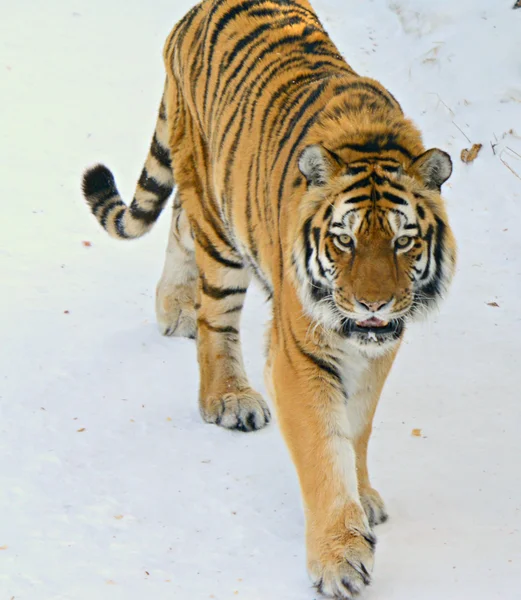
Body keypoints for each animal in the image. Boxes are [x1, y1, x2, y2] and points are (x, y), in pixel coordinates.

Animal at [80, 2, 456, 596]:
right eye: (344, 239)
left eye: (403, 241)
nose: (373, 306)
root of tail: (190, 15)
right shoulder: (300, 353)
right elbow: (323, 448)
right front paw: (339, 557)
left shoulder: (378, 349)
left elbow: (357, 426)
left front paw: (362, 496)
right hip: (218, 223)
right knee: (214, 314)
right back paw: (226, 395)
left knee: (179, 223)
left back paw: (173, 307)